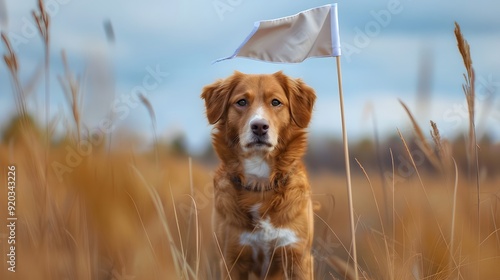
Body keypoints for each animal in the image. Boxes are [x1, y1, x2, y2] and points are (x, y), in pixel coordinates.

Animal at [200, 71, 314, 278]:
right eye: (242, 102)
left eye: (276, 102)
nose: (260, 126)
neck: (260, 183)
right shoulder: (231, 259)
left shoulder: (298, 257)